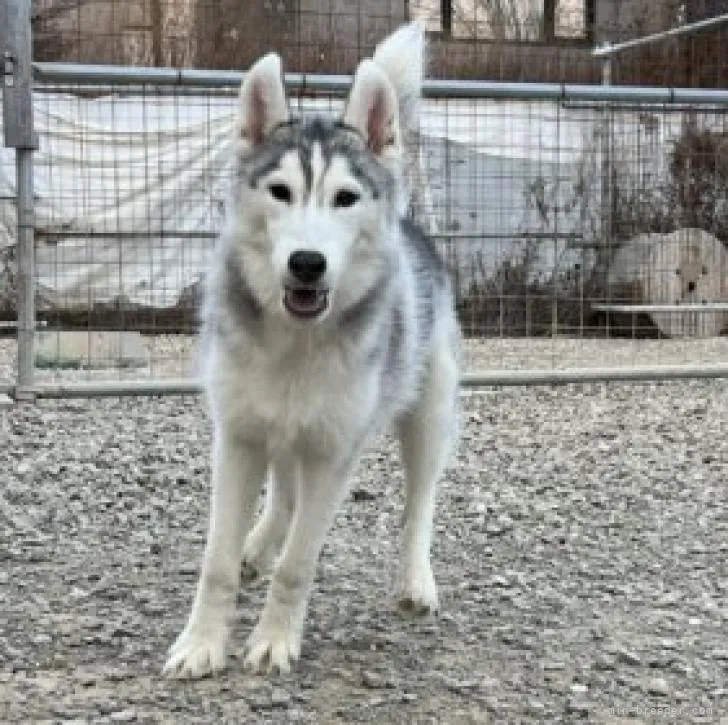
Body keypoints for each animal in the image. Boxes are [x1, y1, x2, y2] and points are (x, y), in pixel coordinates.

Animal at [165, 24, 460, 680]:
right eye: (281, 192)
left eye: (345, 198)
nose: (307, 263)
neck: (296, 343)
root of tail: (412, 227)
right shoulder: (239, 438)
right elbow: (216, 562)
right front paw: (202, 643)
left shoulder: (332, 454)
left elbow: (297, 566)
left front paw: (274, 640)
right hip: (278, 431)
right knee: (282, 492)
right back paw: (257, 544)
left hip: (426, 415)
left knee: (419, 504)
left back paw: (416, 579)